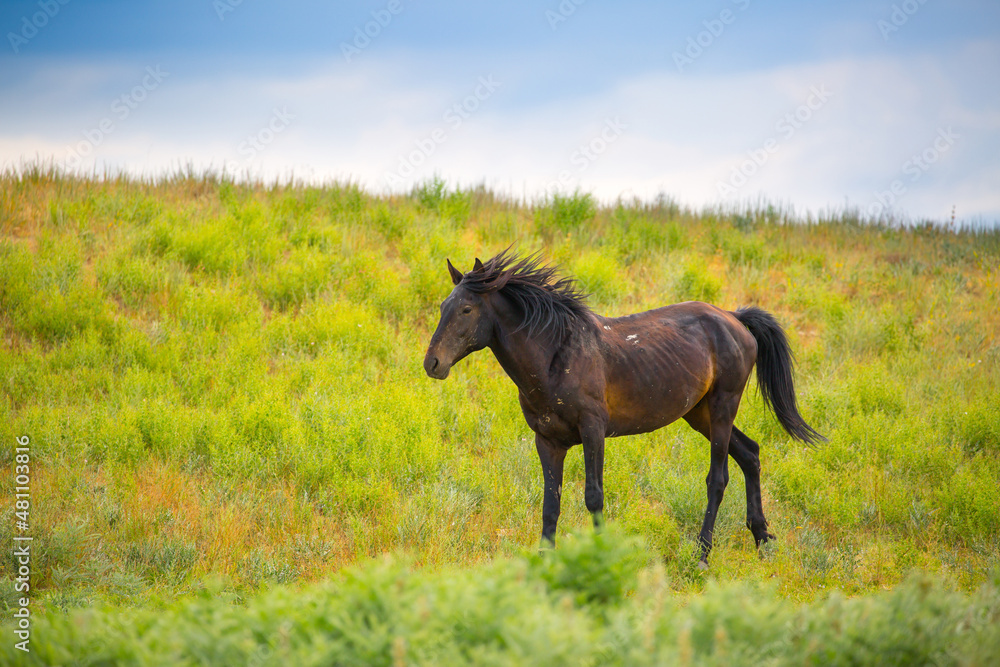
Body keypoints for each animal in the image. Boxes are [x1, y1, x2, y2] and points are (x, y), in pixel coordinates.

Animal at [423, 249, 823, 566]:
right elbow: (551, 504)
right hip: (699, 414)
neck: (557, 355)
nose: (432, 363)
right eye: (443, 307)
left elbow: (593, 497)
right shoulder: (547, 440)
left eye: (466, 308)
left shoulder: (593, 431)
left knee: (718, 478)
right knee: (751, 454)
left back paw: (703, 554)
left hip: (724, 405)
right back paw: (762, 539)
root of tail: (735, 318)